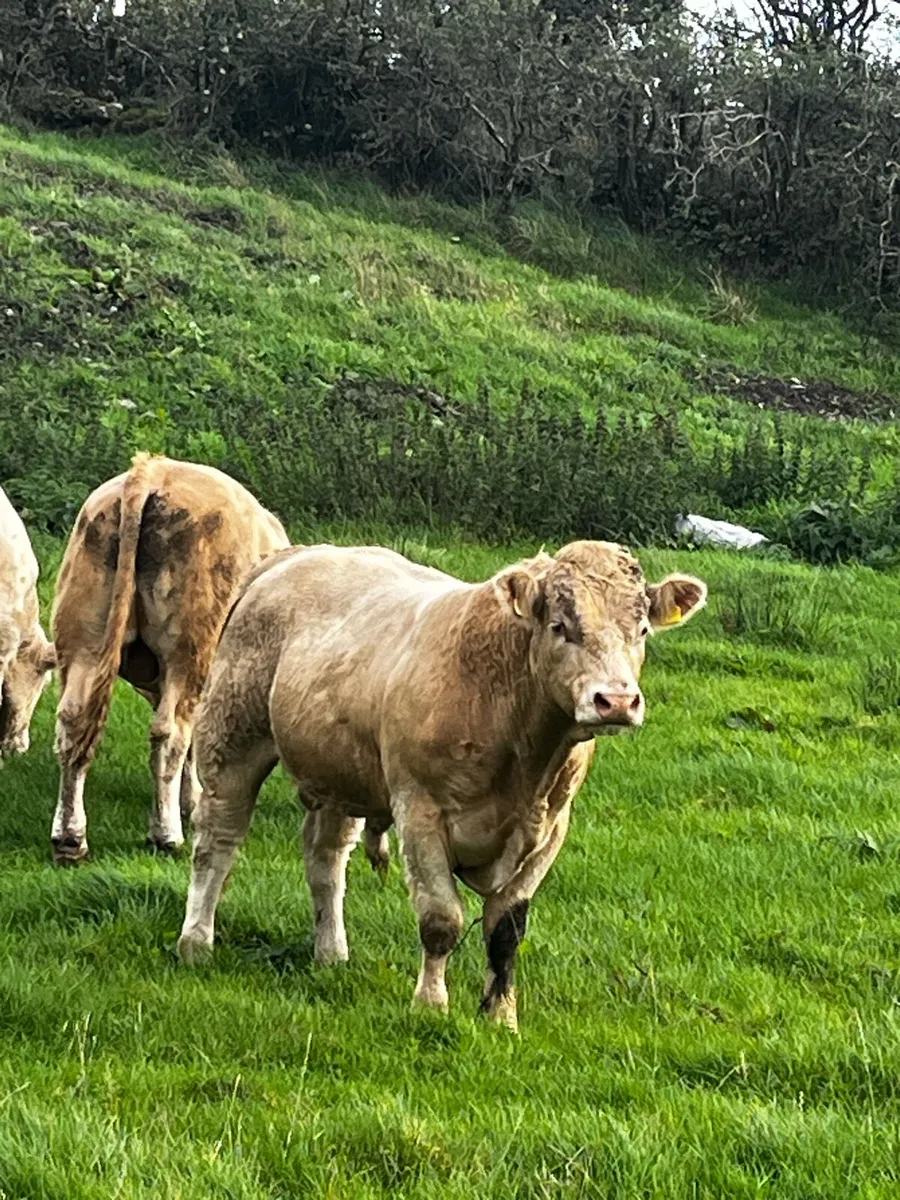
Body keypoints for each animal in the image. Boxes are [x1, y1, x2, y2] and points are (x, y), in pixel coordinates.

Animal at [50, 453, 290, 864]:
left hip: (83, 637)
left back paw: (70, 837)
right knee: (169, 733)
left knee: (74, 721)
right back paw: (165, 835)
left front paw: (190, 800)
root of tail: (153, 469)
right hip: (191, 647)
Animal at [177, 539, 706, 1030]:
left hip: (339, 771)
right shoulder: (421, 811)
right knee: (218, 842)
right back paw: (196, 941)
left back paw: (331, 952)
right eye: (561, 627)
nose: (615, 701)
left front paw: (502, 1017)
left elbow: (506, 929)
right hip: (232, 739)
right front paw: (431, 1004)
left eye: (641, 630)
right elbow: (440, 920)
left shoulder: (551, 829)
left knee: (325, 859)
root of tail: (295, 556)